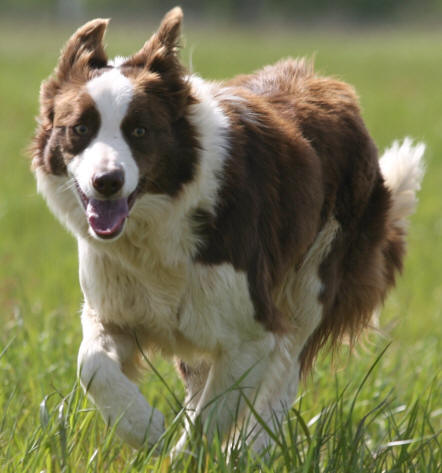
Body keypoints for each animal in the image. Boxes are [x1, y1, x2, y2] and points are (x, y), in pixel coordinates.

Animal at [30, 5, 424, 452]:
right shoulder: (113, 309)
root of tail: (331, 85)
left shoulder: (252, 332)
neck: (160, 225)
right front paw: (142, 426)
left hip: (315, 282)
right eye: (80, 128)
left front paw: (180, 452)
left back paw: (252, 449)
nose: (107, 181)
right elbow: (91, 364)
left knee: (284, 374)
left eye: (140, 131)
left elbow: (207, 426)